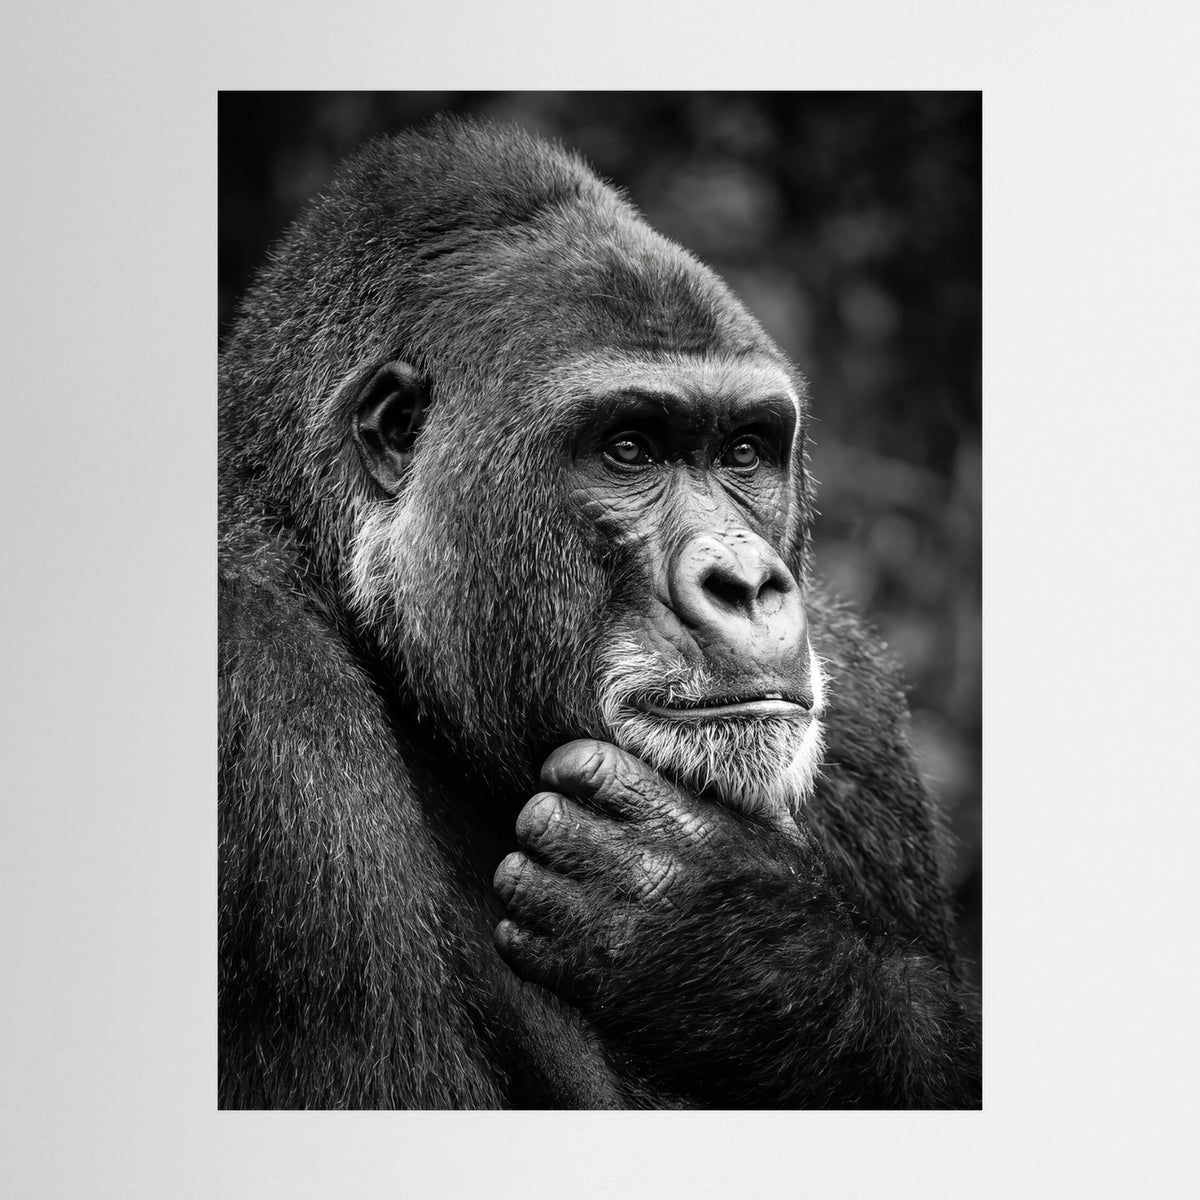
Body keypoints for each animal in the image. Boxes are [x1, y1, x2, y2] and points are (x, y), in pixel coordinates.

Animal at [218, 116, 981, 1109]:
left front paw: (740, 941)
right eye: (629, 450)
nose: (748, 582)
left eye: (745, 450)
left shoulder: (860, 710)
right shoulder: (259, 699)